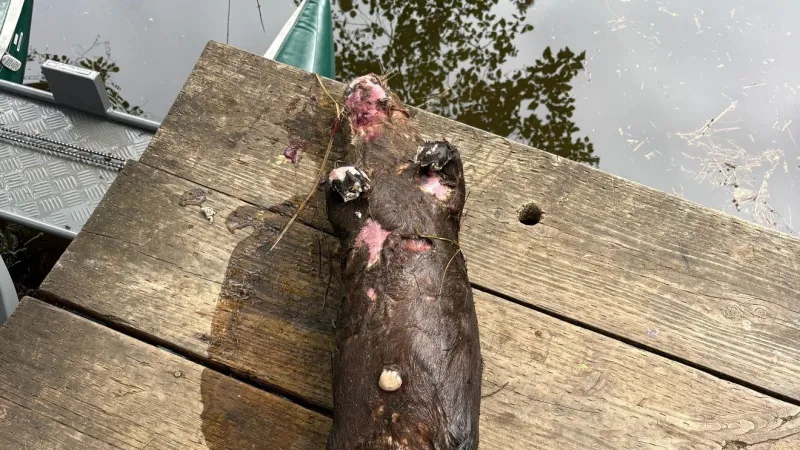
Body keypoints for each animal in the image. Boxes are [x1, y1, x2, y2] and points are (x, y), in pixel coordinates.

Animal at [324, 74, 482, 450]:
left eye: (396, 102)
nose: (364, 79)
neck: (388, 174)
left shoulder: (447, 203)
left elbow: (457, 178)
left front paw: (434, 151)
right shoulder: (352, 223)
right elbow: (333, 203)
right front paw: (348, 178)